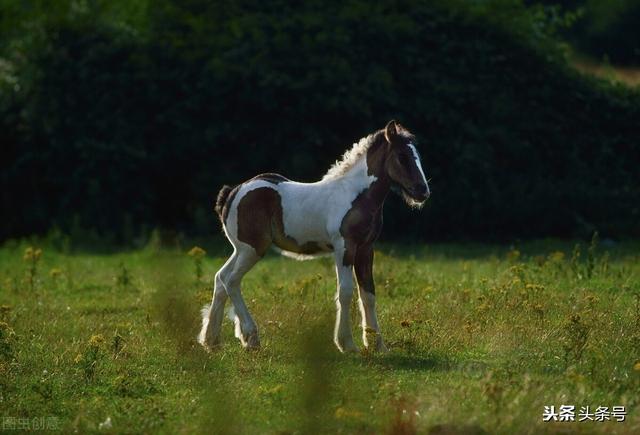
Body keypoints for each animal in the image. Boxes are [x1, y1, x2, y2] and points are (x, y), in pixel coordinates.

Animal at [199, 121, 430, 352]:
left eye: (418, 156)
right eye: (402, 156)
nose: (423, 192)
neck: (355, 195)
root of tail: (232, 193)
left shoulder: (366, 249)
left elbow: (368, 293)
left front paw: (377, 345)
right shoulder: (344, 247)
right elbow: (345, 292)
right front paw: (347, 344)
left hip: (240, 250)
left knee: (220, 278)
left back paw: (211, 340)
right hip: (252, 249)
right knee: (231, 281)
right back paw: (250, 337)